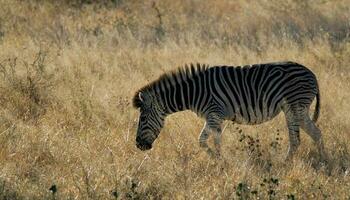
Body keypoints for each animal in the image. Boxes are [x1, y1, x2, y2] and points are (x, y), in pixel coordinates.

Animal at [133, 61, 326, 161]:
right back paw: (323, 160)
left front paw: (219, 161)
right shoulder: (214, 117)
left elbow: (206, 140)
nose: (138, 146)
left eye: (142, 119)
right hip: (298, 109)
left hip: (294, 107)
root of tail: (312, 74)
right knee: (315, 133)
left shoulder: (214, 114)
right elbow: (210, 140)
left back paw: (286, 163)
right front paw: (219, 160)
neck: (194, 92)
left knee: (298, 138)